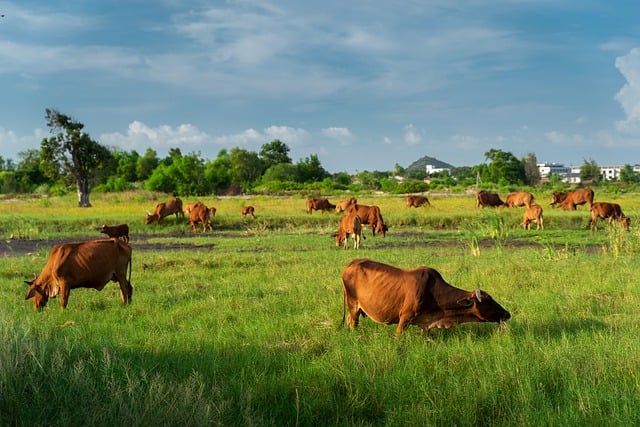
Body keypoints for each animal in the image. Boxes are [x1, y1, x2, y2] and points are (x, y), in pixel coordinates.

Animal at [340, 258, 510, 338]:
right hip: (353, 305)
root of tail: (351, 264)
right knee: (353, 323)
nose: (507, 313)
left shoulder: (426, 325)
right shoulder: (404, 318)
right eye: (488, 300)